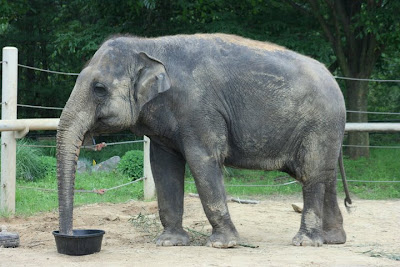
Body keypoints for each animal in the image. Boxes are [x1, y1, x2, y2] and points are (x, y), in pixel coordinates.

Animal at [55, 33, 350, 249]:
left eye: (99, 89)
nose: (67, 236)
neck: (148, 45)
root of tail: (335, 82)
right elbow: (164, 167)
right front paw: (170, 243)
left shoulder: (199, 110)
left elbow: (202, 161)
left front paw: (223, 244)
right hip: (325, 130)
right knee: (326, 177)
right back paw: (333, 240)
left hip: (319, 125)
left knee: (312, 175)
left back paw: (305, 242)